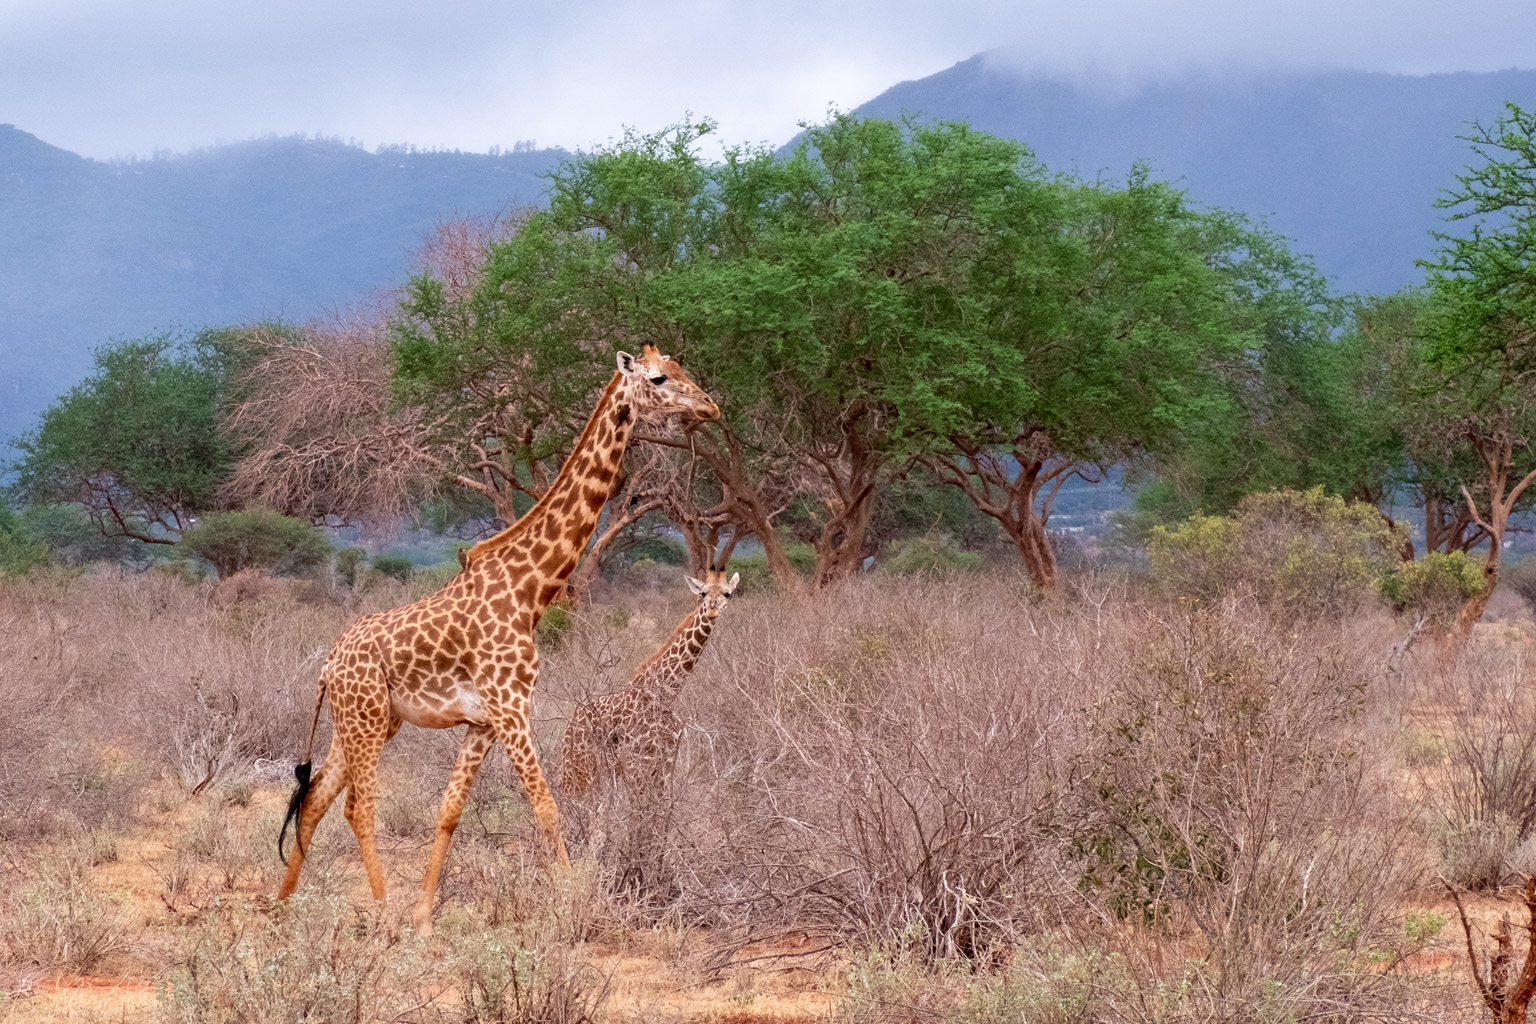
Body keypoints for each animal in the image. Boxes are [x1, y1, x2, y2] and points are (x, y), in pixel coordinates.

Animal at [275, 343, 719, 935]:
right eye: (658, 379)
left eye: (682, 369)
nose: (711, 407)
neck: (530, 590)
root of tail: (328, 666)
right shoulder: (512, 707)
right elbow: (547, 807)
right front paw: (574, 905)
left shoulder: (483, 721)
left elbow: (449, 812)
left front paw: (424, 917)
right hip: (365, 719)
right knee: (357, 806)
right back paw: (382, 911)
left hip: (366, 721)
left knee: (316, 796)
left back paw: (281, 906)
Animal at [559, 568, 740, 802]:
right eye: (703, 593)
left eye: (728, 594)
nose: (711, 611)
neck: (665, 694)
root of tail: (570, 725)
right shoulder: (636, 762)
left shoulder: (665, 763)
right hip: (582, 767)